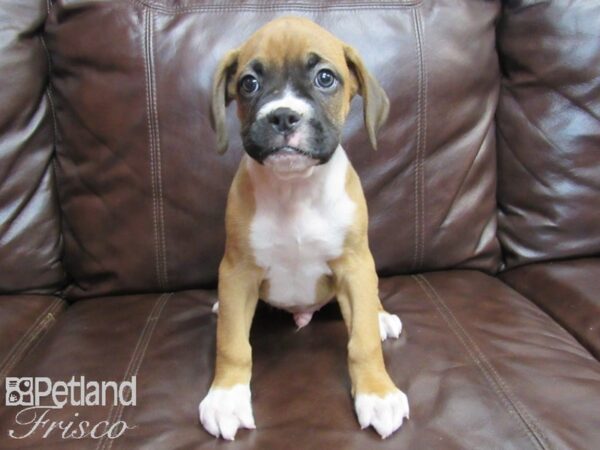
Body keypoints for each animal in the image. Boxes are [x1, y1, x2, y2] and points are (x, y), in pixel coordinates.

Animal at [199, 16, 410, 440]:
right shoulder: (238, 272)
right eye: (249, 83)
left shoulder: (354, 266)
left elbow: (362, 342)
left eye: (325, 78)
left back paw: (381, 316)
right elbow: (232, 344)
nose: (283, 116)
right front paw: (226, 397)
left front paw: (377, 393)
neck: (294, 190)